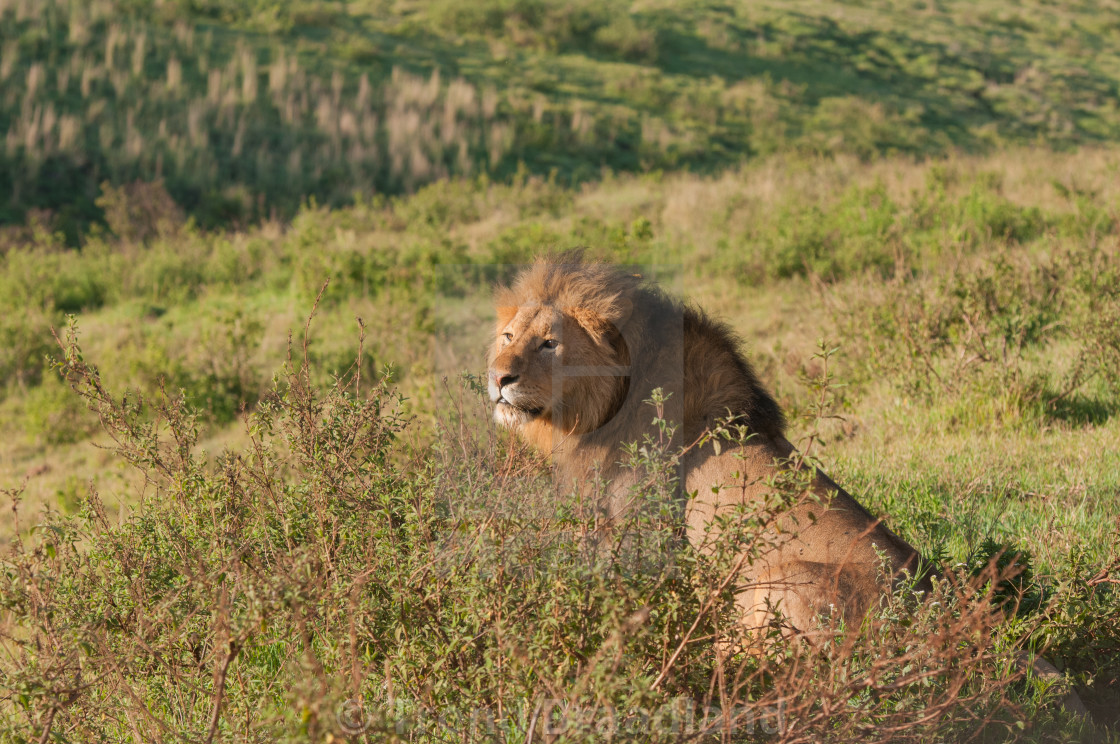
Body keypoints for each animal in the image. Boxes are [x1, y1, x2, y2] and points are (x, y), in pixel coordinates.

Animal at [486, 250, 1088, 721]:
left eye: (549, 344)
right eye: (508, 337)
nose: (498, 379)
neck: (599, 408)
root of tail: (960, 625)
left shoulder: (637, 534)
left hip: (780, 584)